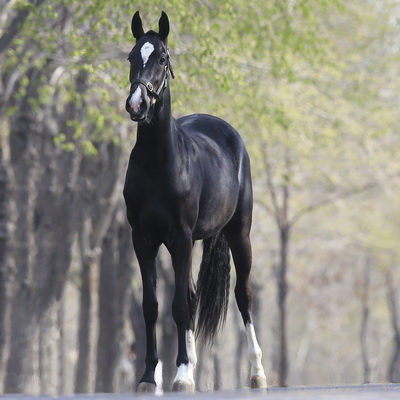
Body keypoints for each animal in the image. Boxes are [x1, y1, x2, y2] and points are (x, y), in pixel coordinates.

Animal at [122, 10, 266, 392]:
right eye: (131, 57)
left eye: (162, 58)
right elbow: (152, 305)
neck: (158, 163)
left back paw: (257, 372)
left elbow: (180, 308)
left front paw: (183, 373)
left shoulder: (180, 237)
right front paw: (149, 376)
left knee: (244, 296)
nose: (137, 105)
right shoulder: (143, 239)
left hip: (239, 234)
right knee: (190, 295)